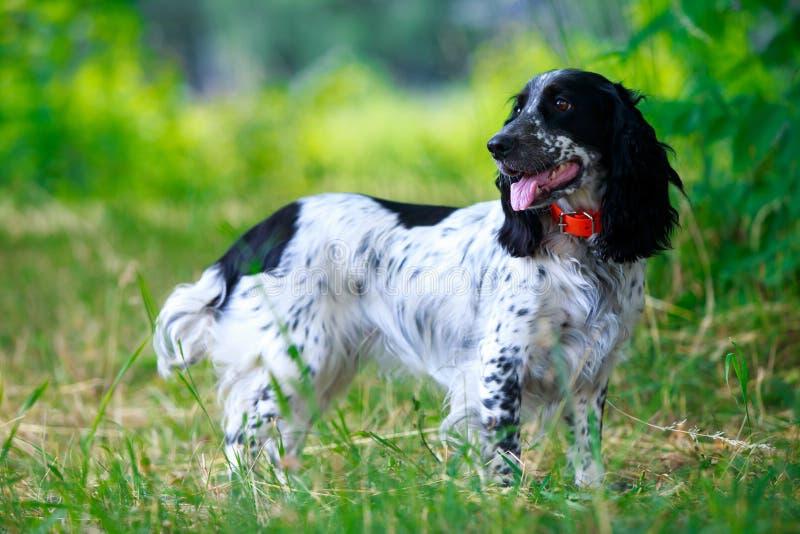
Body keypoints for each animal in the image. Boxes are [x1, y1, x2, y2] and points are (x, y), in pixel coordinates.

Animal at [155, 69, 680, 488]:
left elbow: (587, 452)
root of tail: (263, 230)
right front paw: (508, 503)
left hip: (317, 372)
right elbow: (504, 452)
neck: (577, 246)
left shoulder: (591, 372)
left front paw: (591, 499)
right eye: (519, 108)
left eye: (563, 104)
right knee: (239, 441)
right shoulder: (500, 362)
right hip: (291, 361)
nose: (496, 145)